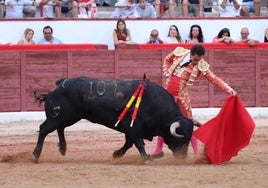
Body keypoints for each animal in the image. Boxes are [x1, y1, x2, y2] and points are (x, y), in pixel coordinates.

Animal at [33, 76, 193, 163]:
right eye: (180, 137)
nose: (183, 157)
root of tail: (59, 84)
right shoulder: (134, 127)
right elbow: (138, 143)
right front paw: (146, 159)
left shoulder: (132, 129)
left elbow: (129, 143)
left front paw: (117, 154)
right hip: (61, 116)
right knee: (44, 129)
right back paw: (35, 155)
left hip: (66, 117)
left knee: (59, 128)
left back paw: (63, 148)